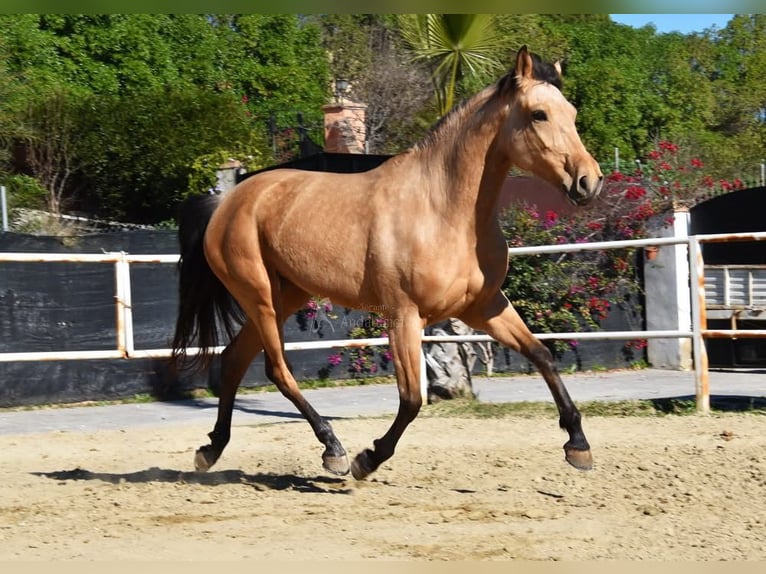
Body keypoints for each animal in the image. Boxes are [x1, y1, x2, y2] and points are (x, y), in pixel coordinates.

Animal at [174, 47, 608, 482]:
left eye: (571, 112)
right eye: (539, 114)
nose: (589, 181)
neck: (443, 209)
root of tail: (228, 201)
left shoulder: (484, 307)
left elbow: (542, 355)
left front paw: (579, 445)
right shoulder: (404, 315)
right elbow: (412, 398)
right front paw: (368, 459)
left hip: (287, 296)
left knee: (234, 359)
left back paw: (211, 450)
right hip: (259, 296)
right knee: (277, 370)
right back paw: (333, 450)